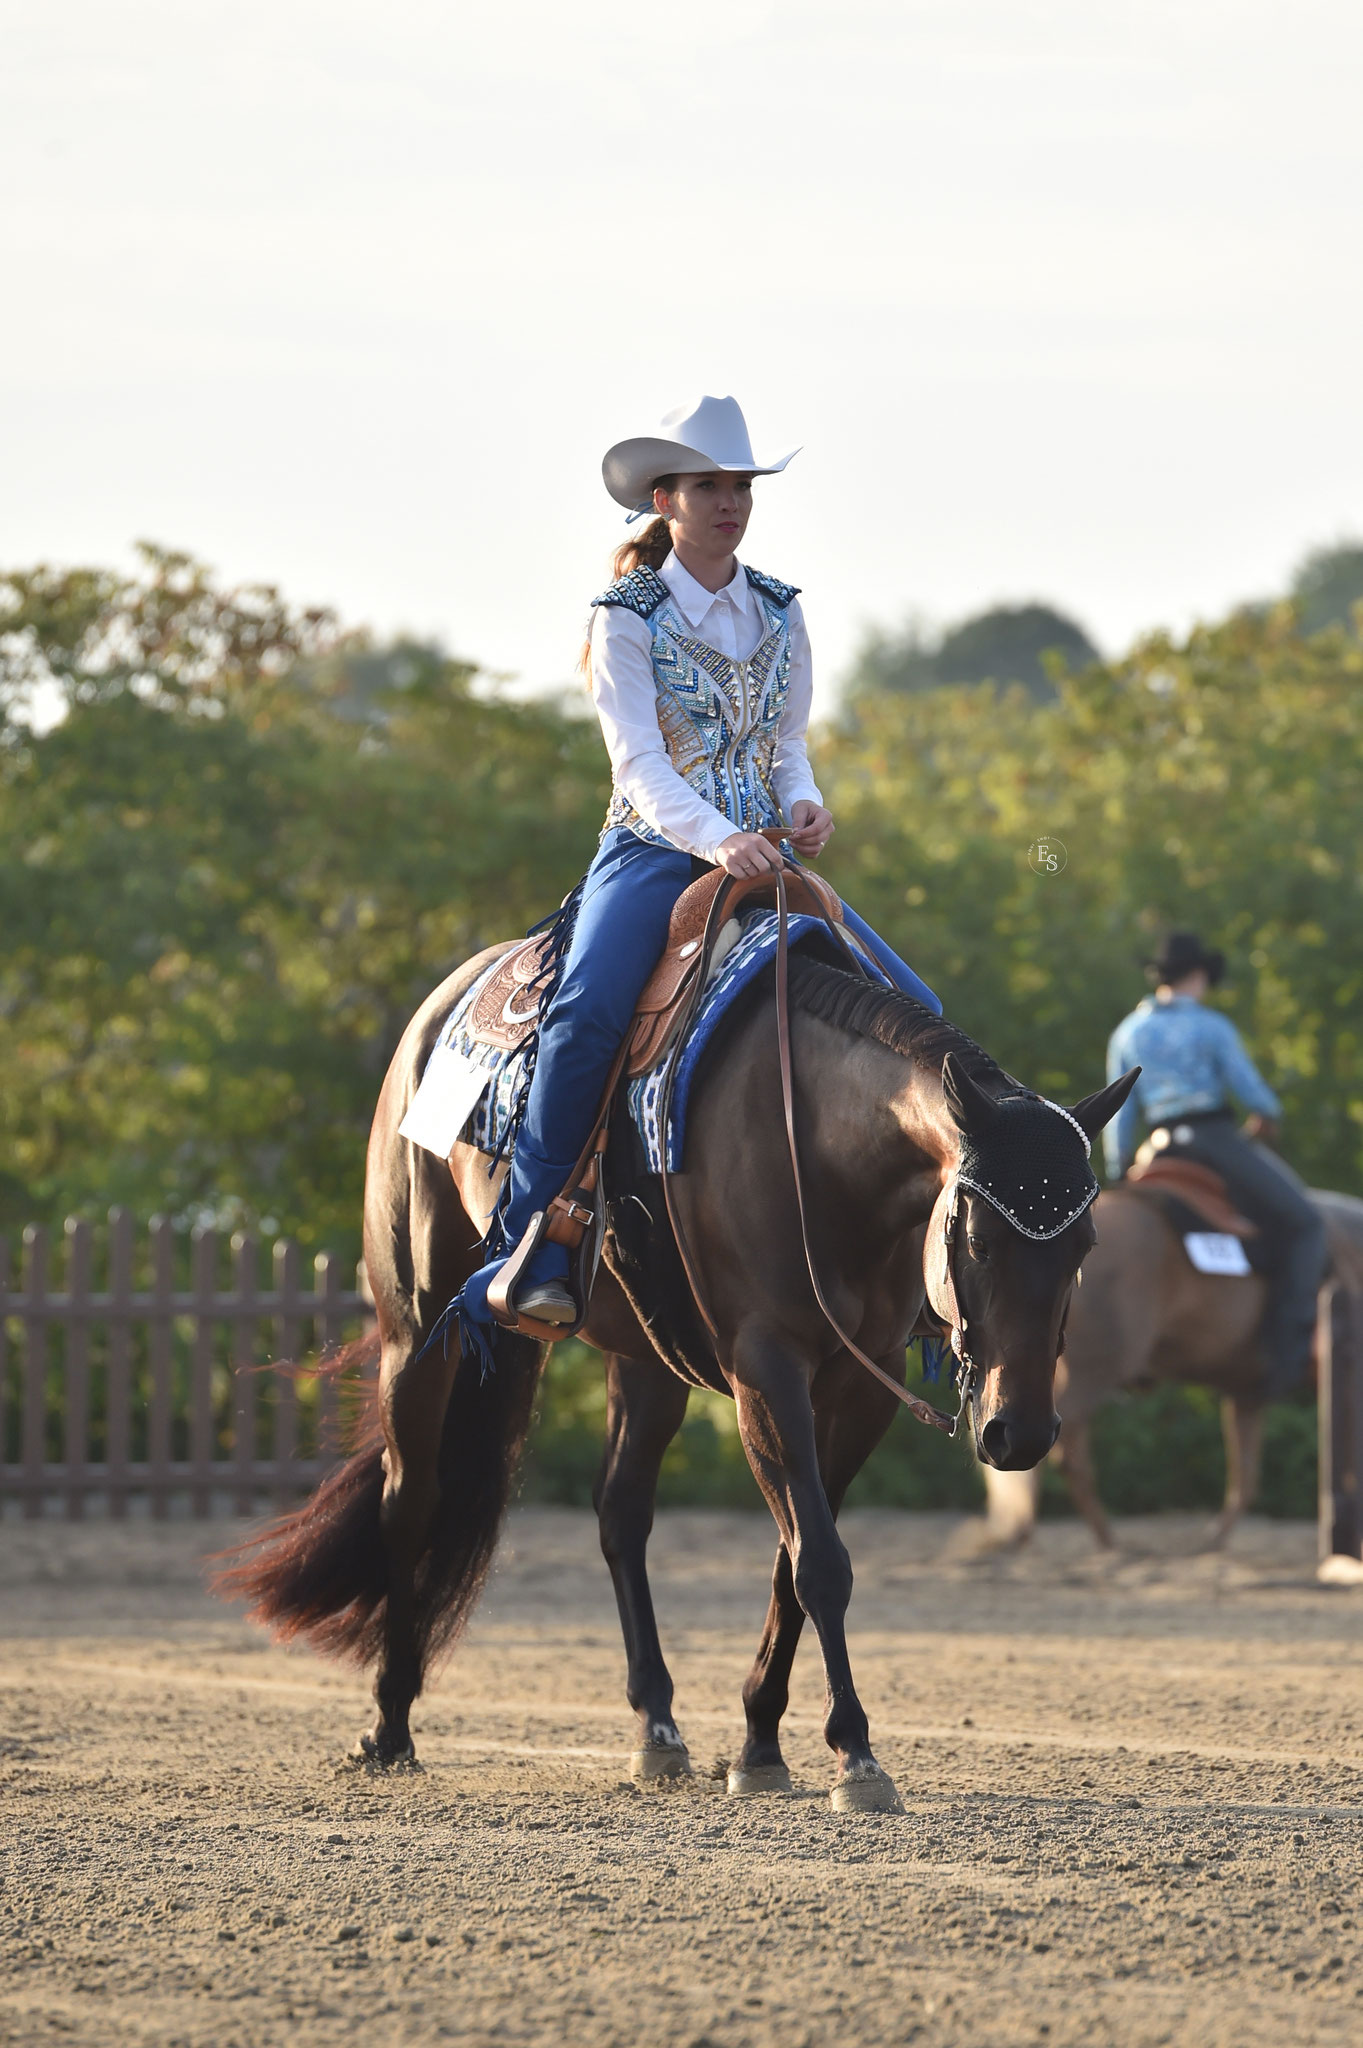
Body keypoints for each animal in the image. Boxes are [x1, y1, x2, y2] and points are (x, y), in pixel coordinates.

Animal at [223, 929, 1129, 1810]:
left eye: (1085, 1245)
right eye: (978, 1238)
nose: (1019, 1433)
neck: (814, 1147)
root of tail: (440, 1005)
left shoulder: (858, 1383)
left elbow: (792, 1560)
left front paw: (761, 1743)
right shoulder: (765, 1367)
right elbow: (819, 1561)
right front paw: (854, 1753)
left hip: (644, 1363)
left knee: (620, 1513)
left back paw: (656, 1728)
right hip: (416, 1326)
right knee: (411, 1499)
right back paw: (388, 1725)